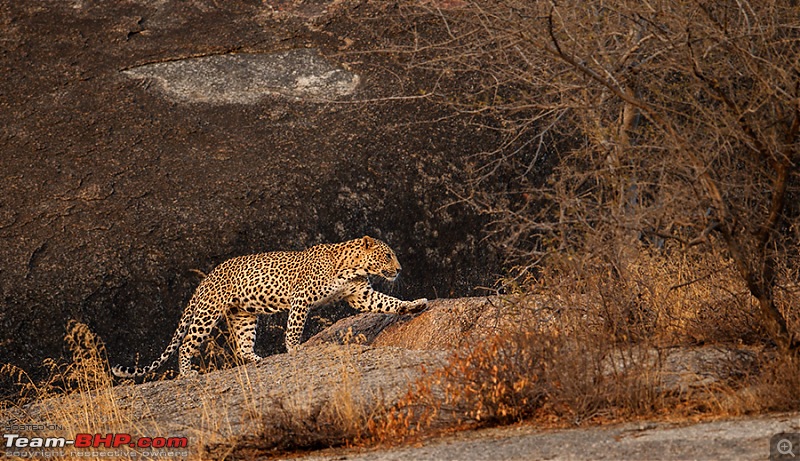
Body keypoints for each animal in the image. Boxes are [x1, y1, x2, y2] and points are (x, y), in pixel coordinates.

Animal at [111, 235, 432, 380]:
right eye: (387, 255)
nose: (399, 270)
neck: (351, 266)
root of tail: (205, 279)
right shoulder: (301, 298)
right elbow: (294, 328)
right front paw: (294, 349)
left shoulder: (360, 295)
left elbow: (389, 303)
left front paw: (413, 306)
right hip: (208, 313)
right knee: (187, 342)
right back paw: (188, 373)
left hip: (242, 316)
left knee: (241, 345)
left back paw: (257, 359)